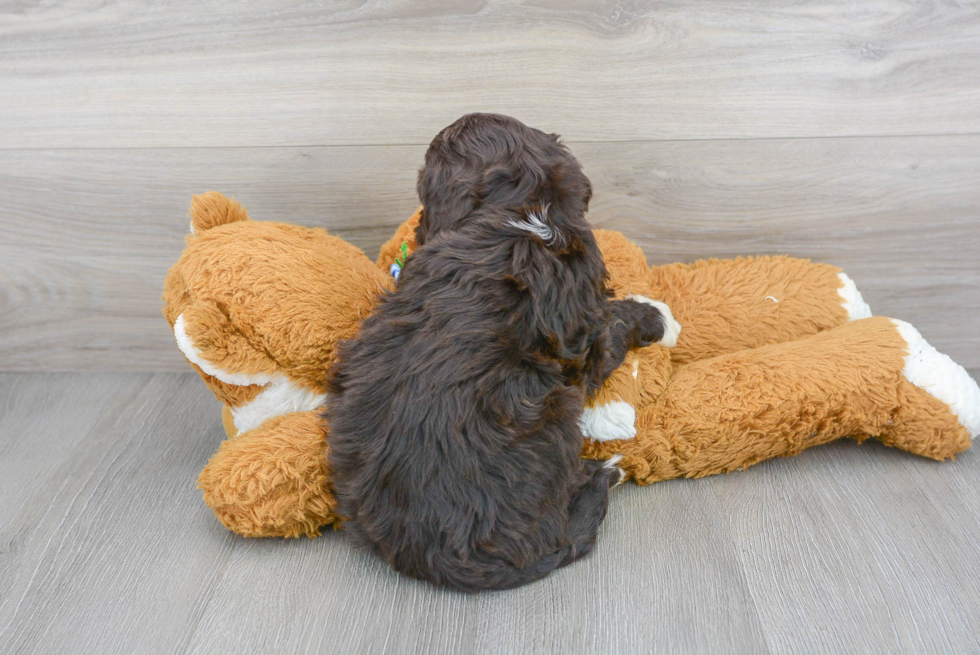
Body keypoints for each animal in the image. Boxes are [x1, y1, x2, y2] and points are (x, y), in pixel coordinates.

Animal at [326, 114, 676, 596]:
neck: (521, 213)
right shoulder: (584, 334)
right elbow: (613, 325)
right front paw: (654, 315)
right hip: (556, 417)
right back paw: (602, 473)